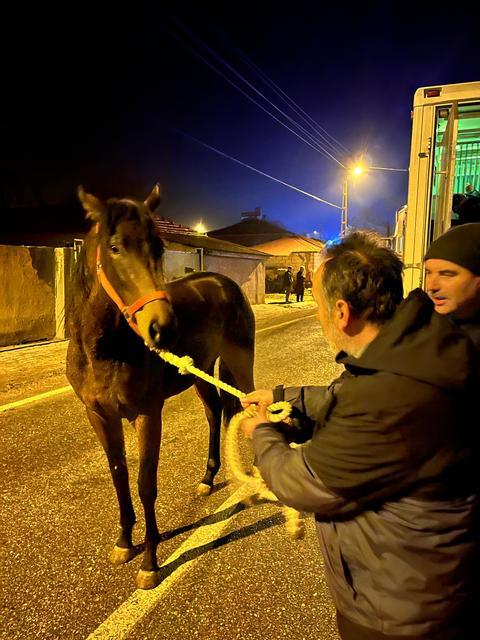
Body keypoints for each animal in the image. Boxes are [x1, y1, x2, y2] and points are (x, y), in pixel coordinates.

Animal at [67, 185, 256, 592]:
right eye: (115, 247)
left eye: (158, 247)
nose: (163, 328)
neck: (106, 349)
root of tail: (224, 283)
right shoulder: (99, 416)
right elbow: (119, 477)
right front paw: (124, 543)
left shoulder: (147, 415)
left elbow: (145, 484)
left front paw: (150, 563)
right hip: (201, 373)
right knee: (214, 413)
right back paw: (208, 478)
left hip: (239, 363)